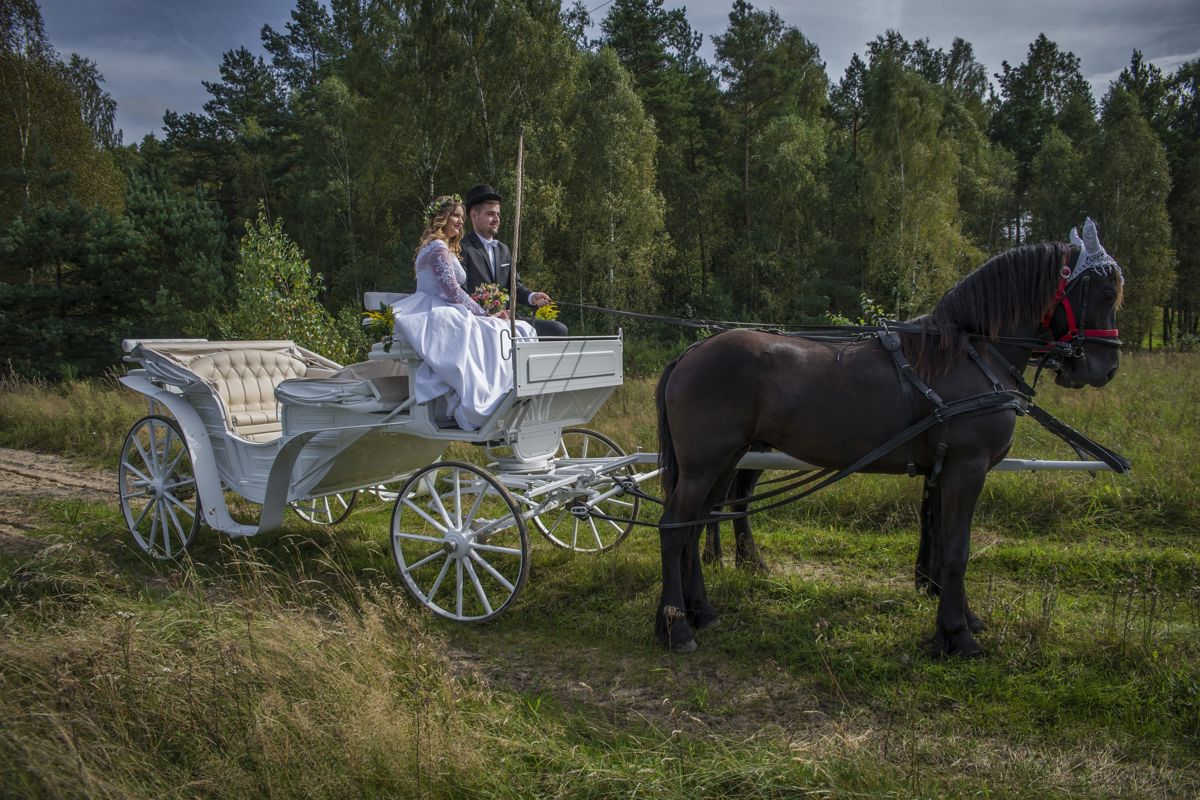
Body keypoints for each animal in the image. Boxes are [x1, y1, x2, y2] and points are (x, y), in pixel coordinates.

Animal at [652, 224, 1118, 657]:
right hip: (705, 463)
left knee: (696, 525)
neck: (972, 355)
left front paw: (961, 618)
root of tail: (690, 353)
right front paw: (957, 636)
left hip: (726, 460)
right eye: (1106, 290)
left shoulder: (945, 470)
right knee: (674, 529)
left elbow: (943, 542)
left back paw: (701, 611)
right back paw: (678, 627)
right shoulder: (966, 468)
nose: (1105, 368)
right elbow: (957, 551)